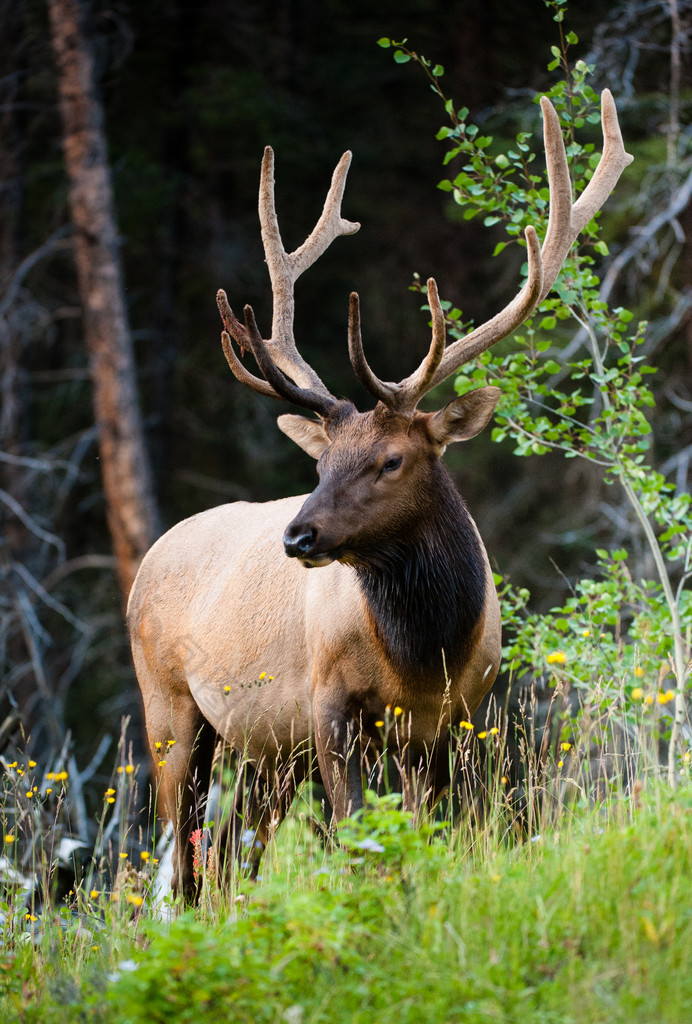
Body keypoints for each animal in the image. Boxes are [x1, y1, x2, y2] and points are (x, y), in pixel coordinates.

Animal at [126, 92, 630, 901]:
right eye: (322, 462)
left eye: (391, 460)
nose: (298, 536)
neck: (421, 656)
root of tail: (149, 558)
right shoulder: (328, 706)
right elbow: (359, 838)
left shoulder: (452, 719)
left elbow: (425, 839)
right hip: (170, 709)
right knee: (181, 864)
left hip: (267, 752)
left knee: (231, 855)